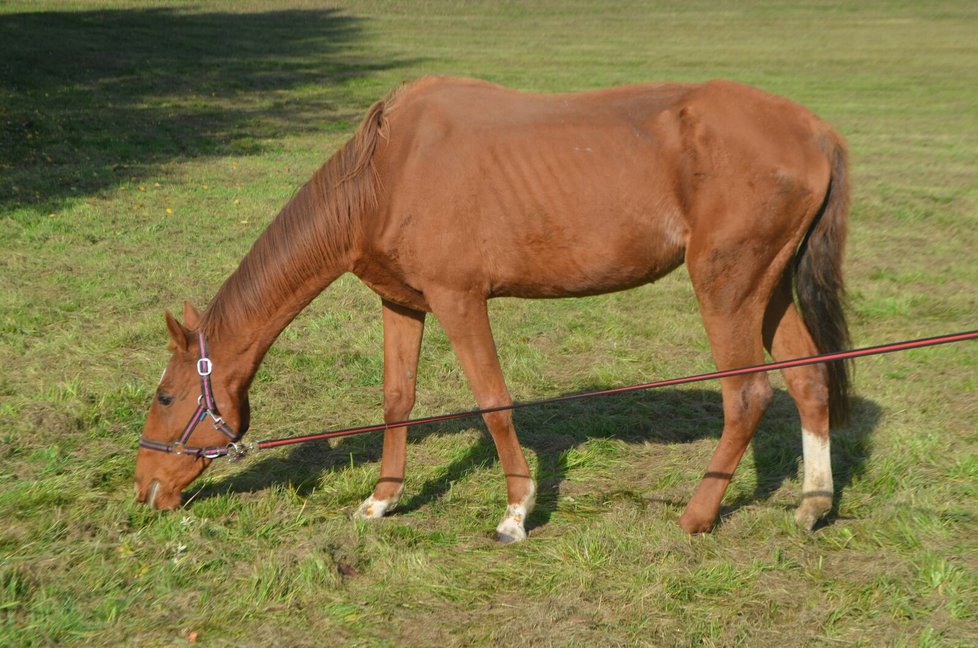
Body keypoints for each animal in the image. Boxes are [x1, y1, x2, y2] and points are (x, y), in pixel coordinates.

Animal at [135, 77, 848, 540]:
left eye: (166, 397)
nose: (145, 488)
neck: (386, 172)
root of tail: (815, 131)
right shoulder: (402, 303)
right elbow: (397, 399)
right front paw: (381, 501)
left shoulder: (460, 301)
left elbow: (493, 402)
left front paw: (515, 511)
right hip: (768, 289)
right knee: (809, 380)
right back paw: (813, 504)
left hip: (726, 288)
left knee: (748, 396)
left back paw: (697, 516)